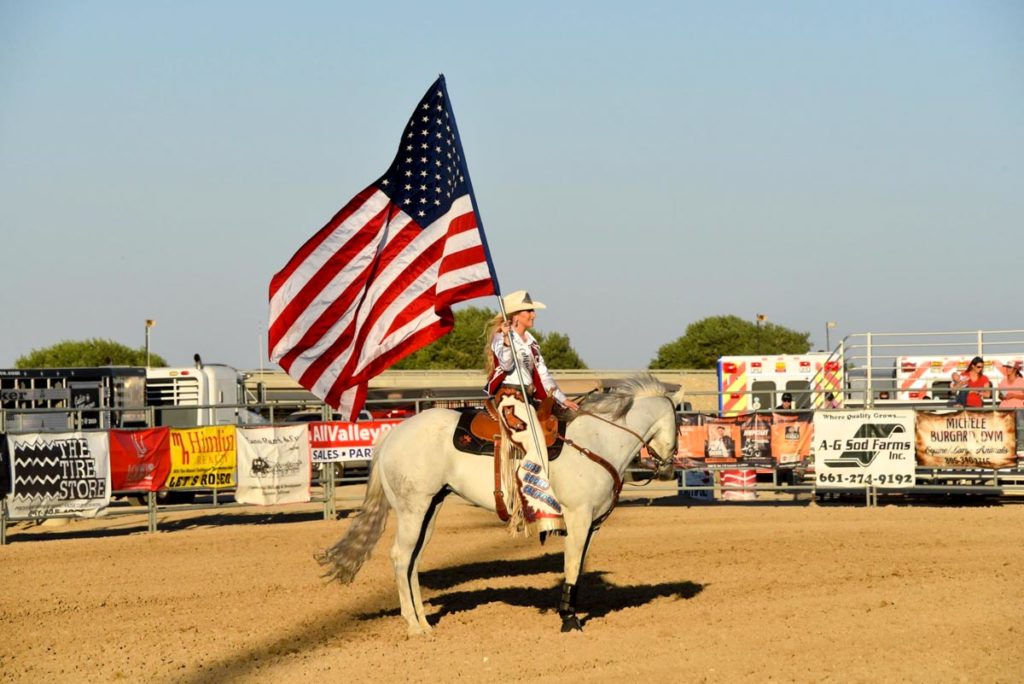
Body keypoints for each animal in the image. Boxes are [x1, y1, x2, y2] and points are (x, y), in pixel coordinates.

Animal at [317, 376, 679, 634]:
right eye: (678, 420)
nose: (670, 466)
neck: (597, 440)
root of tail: (391, 436)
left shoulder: (591, 523)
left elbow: (577, 565)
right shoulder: (578, 516)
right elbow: (573, 565)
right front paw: (569, 619)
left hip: (430, 510)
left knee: (413, 561)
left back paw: (424, 621)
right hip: (412, 509)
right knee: (400, 557)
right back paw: (412, 625)